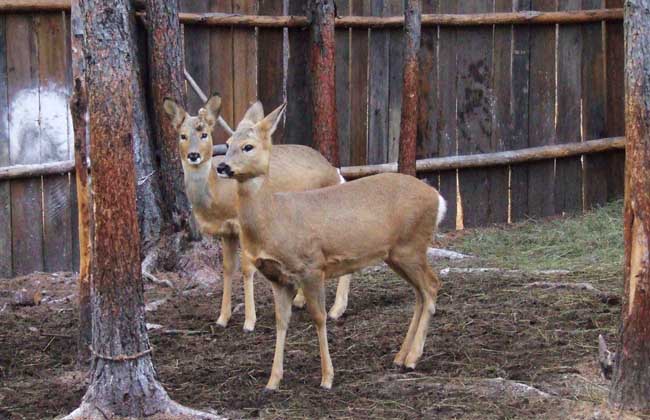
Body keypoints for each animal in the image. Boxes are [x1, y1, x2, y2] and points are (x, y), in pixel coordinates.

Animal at [165, 94, 352, 332]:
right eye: (182, 135)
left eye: (204, 133)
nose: (194, 155)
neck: (217, 195)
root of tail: (336, 172)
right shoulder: (227, 231)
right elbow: (227, 268)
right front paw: (222, 318)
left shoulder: (242, 225)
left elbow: (246, 269)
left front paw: (249, 322)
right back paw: (302, 300)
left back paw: (336, 309)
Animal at [216, 100, 446, 388]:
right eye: (227, 143)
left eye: (248, 146)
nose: (222, 167)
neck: (274, 218)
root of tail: (438, 198)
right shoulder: (279, 278)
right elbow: (281, 322)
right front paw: (273, 381)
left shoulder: (311, 265)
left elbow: (319, 317)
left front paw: (327, 377)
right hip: (397, 253)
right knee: (420, 293)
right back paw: (400, 357)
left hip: (411, 246)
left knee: (432, 285)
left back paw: (413, 358)